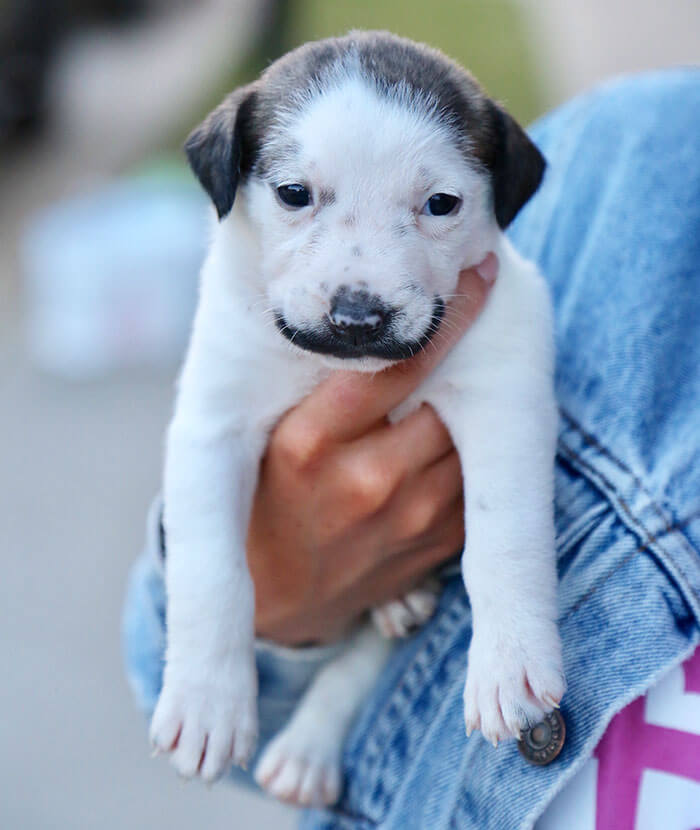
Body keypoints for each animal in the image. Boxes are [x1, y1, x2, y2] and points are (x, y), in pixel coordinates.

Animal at [150, 30, 568, 808]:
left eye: (441, 203)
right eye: (293, 194)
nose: (357, 317)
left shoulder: (506, 400)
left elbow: (504, 540)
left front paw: (511, 663)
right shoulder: (212, 427)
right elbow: (211, 572)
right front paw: (205, 702)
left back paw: (312, 742)